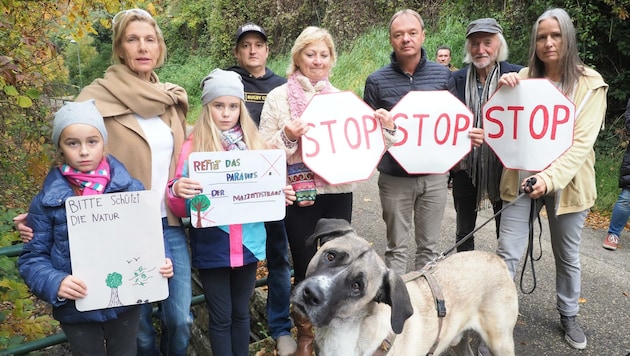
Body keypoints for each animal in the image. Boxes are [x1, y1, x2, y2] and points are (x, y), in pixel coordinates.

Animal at [292, 218, 520, 354]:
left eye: (357, 286)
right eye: (330, 255)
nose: (310, 294)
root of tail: (496, 259)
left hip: (501, 343)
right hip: (458, 341)